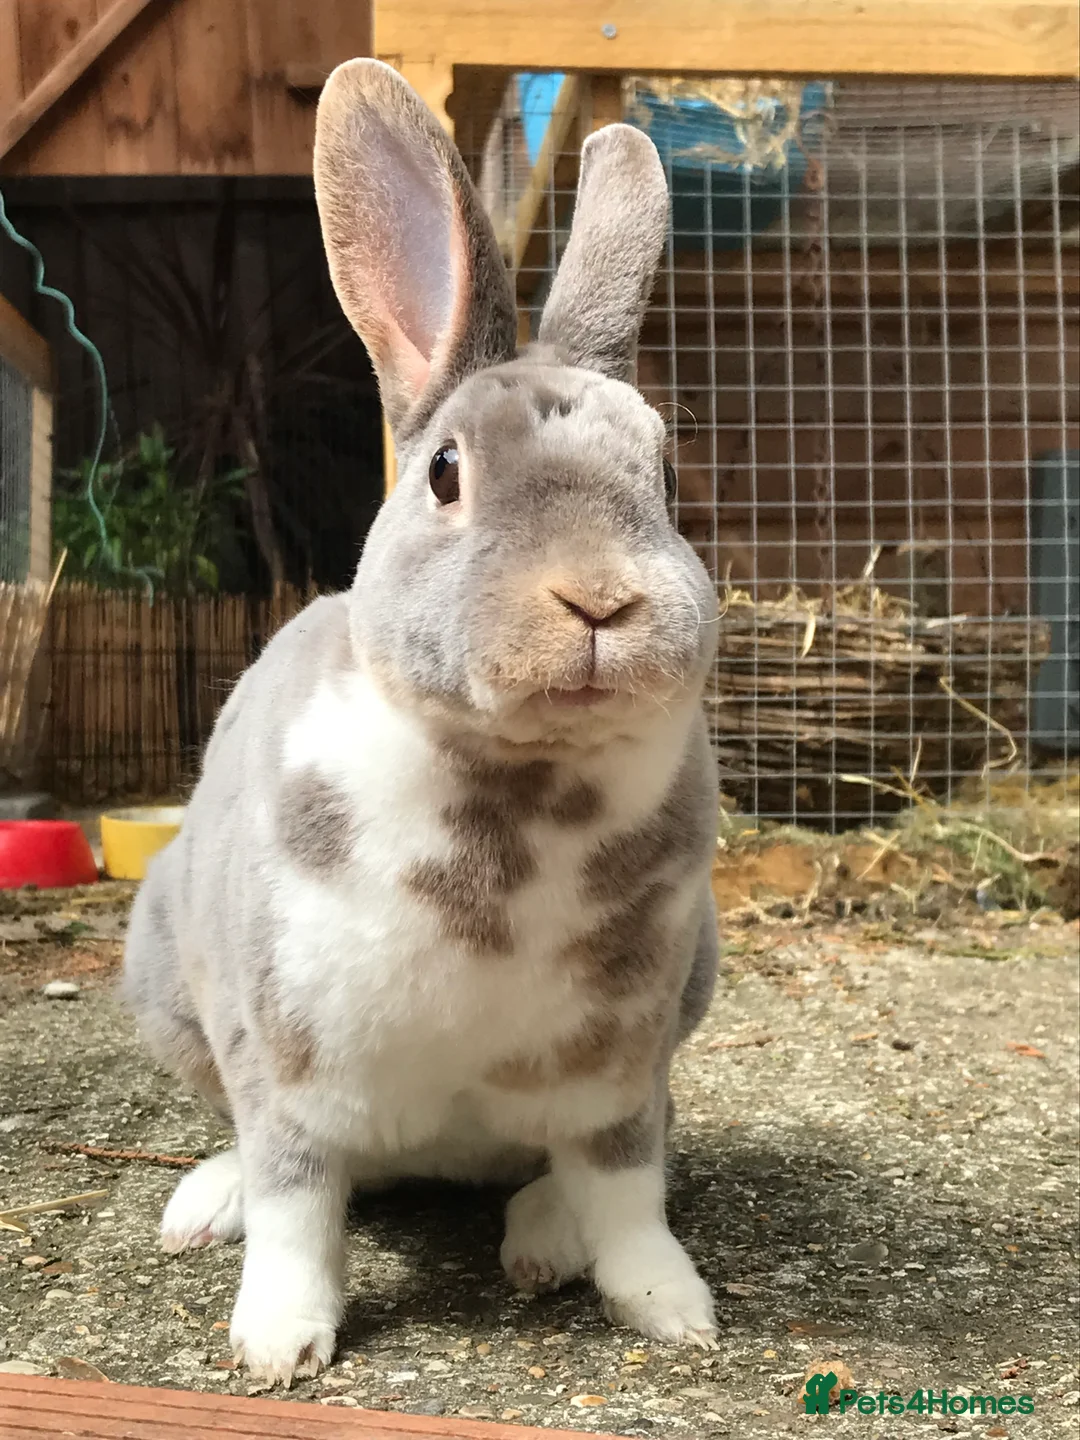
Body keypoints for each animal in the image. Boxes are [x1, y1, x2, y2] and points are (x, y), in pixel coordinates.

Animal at [122, 57, 722, 1386]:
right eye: (445, 473)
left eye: (662, 479)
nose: (602, 599)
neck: (516, 780)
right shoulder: (284, 1059)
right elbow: (298, 1202)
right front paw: (279, 1347)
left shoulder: (621, 1068)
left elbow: (628, 1190)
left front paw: (675, 1311)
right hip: (168, 987)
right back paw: (202, 1206)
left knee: (578, 1168)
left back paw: (542, 1239)